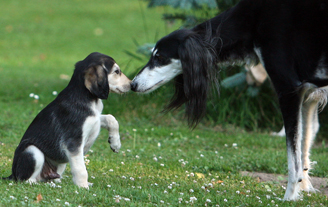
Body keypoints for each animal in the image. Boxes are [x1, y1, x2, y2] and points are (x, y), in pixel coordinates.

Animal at [2, 51, 131, 188]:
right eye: (117, 71)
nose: (132, 84)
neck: (86, 97)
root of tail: (12, 174)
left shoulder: (94, 119)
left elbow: (111, 118)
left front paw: (115, 143)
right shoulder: (73, 142)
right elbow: (81, 169)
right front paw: (83, 187)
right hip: (33, 151)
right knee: (26, 179)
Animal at [131, 0, 328, 201]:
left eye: (159, 57)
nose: (133, 84)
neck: (252, 19)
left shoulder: (288, 88)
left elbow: (293, 159)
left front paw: (289, 197)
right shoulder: (308, 95)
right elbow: (304, 146)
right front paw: (303, 189)